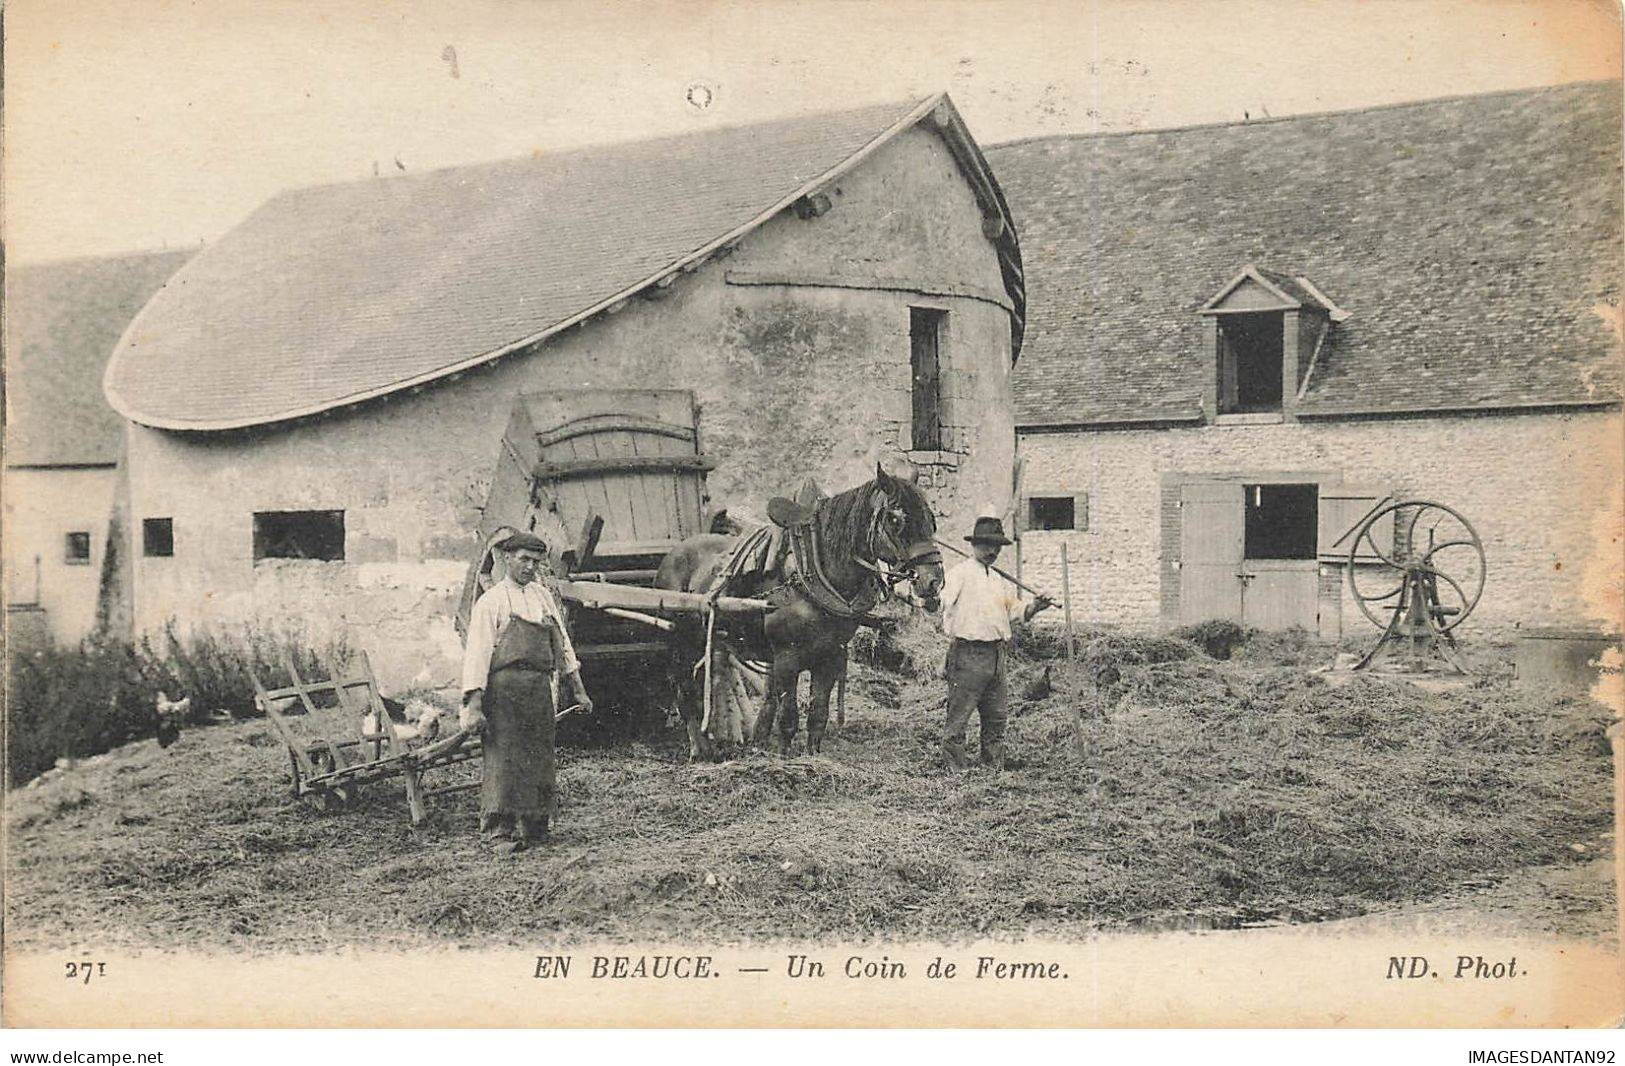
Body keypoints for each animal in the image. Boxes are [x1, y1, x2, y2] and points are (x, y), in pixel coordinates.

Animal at [653, 464, 949, 757]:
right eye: (896, 520)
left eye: (931, 519)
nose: (933, 581)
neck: (812, 573)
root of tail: (674, 552)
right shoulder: (786, 659)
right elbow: (788, 718)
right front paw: (785, 758)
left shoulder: (831, 656)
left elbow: (818, 715)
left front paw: (812, 757)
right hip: (680, 643)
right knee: (684, 692)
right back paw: (700, 749)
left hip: (710, 639)